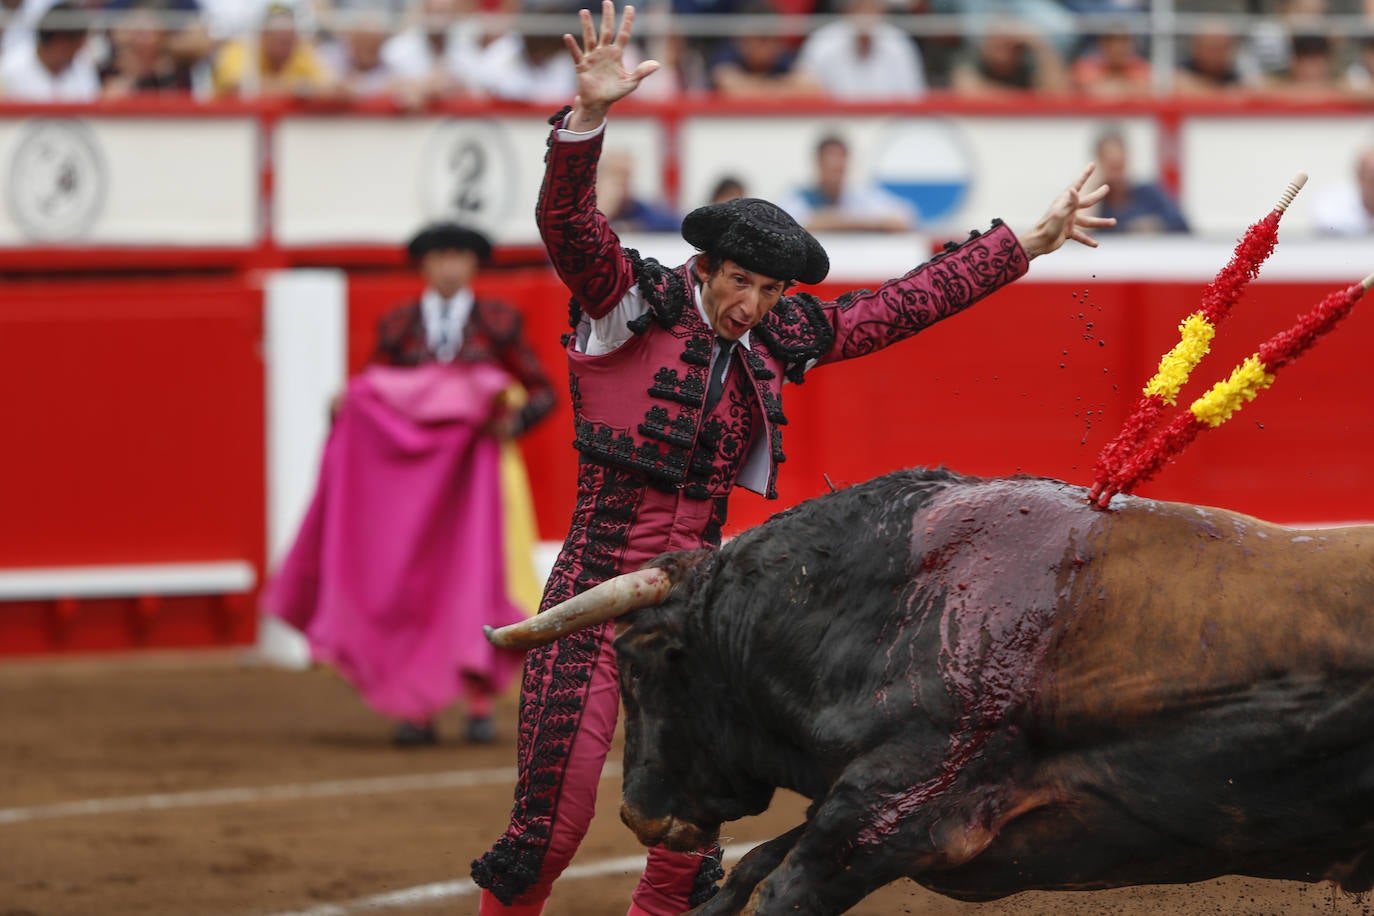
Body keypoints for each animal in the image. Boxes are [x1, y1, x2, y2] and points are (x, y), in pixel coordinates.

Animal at [483, 469, 1374, 911]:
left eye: (640, 663)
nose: (640, 814)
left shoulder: (893, 810)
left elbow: (778, 884)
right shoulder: (862, 806)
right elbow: (751, 867)